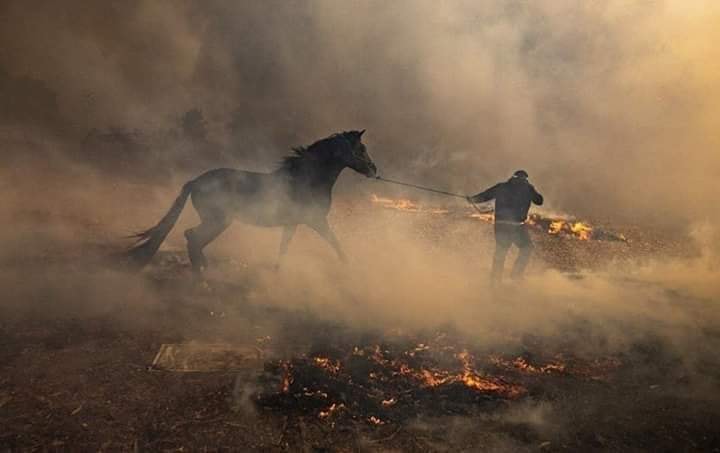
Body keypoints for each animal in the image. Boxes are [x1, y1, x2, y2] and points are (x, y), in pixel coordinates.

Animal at [128, 129, 376, 274]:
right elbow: (335, 243)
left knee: (193, 238)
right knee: (193, 237)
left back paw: (203, 269)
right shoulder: (316, 221)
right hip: (219, 221)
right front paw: (349, 267)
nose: (374, 170)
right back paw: (202, 274)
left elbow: (284, 247)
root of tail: (196, 181)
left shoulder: (292, 223)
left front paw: (277, 271)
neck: (307, 178)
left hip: (218, 221)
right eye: (361, 149)